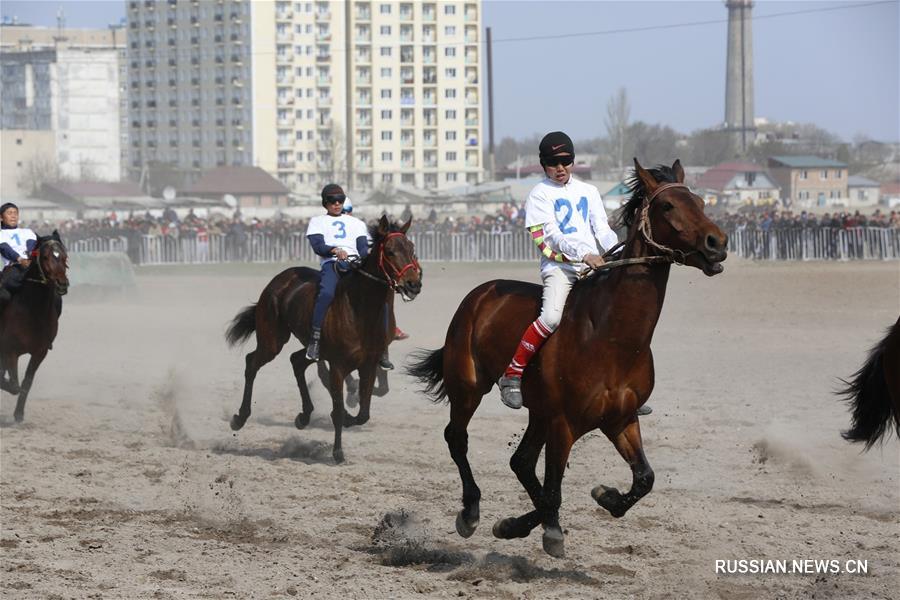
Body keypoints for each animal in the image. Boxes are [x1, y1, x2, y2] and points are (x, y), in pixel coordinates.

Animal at [0, 230, 68, 422]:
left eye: (64, 255)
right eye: (45, 257)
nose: (62, 284)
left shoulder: (40, 352)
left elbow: (26, 383)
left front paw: (19, 414)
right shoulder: (10, 350)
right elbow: (14, 385)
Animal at [225, 217, 422, 464]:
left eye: (412, 248)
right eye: (390, 251)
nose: (414, 284)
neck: (360, 309)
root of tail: (280, 280)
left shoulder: (368, 365)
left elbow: (363, 413)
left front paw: (348, 415)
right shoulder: (338, 365)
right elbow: (338, 408)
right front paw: (338, 452)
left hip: (311, 348)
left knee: (296, 361)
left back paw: (304, 416)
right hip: (272, 340)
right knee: (252, 363)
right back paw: (239, 418)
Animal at [412, 159, 728, 556]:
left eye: (700, 201)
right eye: (668, 206)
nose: (718, 243)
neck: (613, 338)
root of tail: (480, 294)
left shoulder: (620, 419)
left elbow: (643, 479)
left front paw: (603, 496)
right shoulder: (564, 424)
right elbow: (553, 491)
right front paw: (546, 530)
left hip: (537, 411)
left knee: (521, 461)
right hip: (469, 387)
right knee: (457, 438)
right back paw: (470, 512)